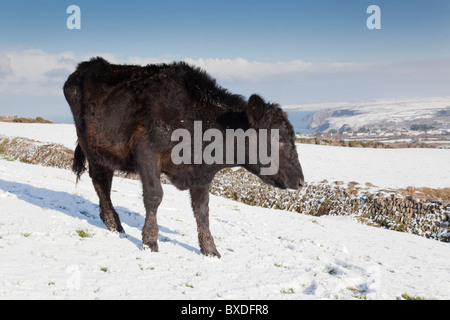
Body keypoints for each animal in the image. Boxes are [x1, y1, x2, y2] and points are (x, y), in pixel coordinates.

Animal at [63, 57, 304, 258]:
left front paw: (210, 250)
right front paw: (150, 242)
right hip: (93, 148)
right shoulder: (146, 150)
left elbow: (202, 210)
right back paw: (114, 225)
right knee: (100, 182)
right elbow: (154, 196)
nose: (301, 181)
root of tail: (89, 65)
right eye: (279, 138)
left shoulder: (202, 173)